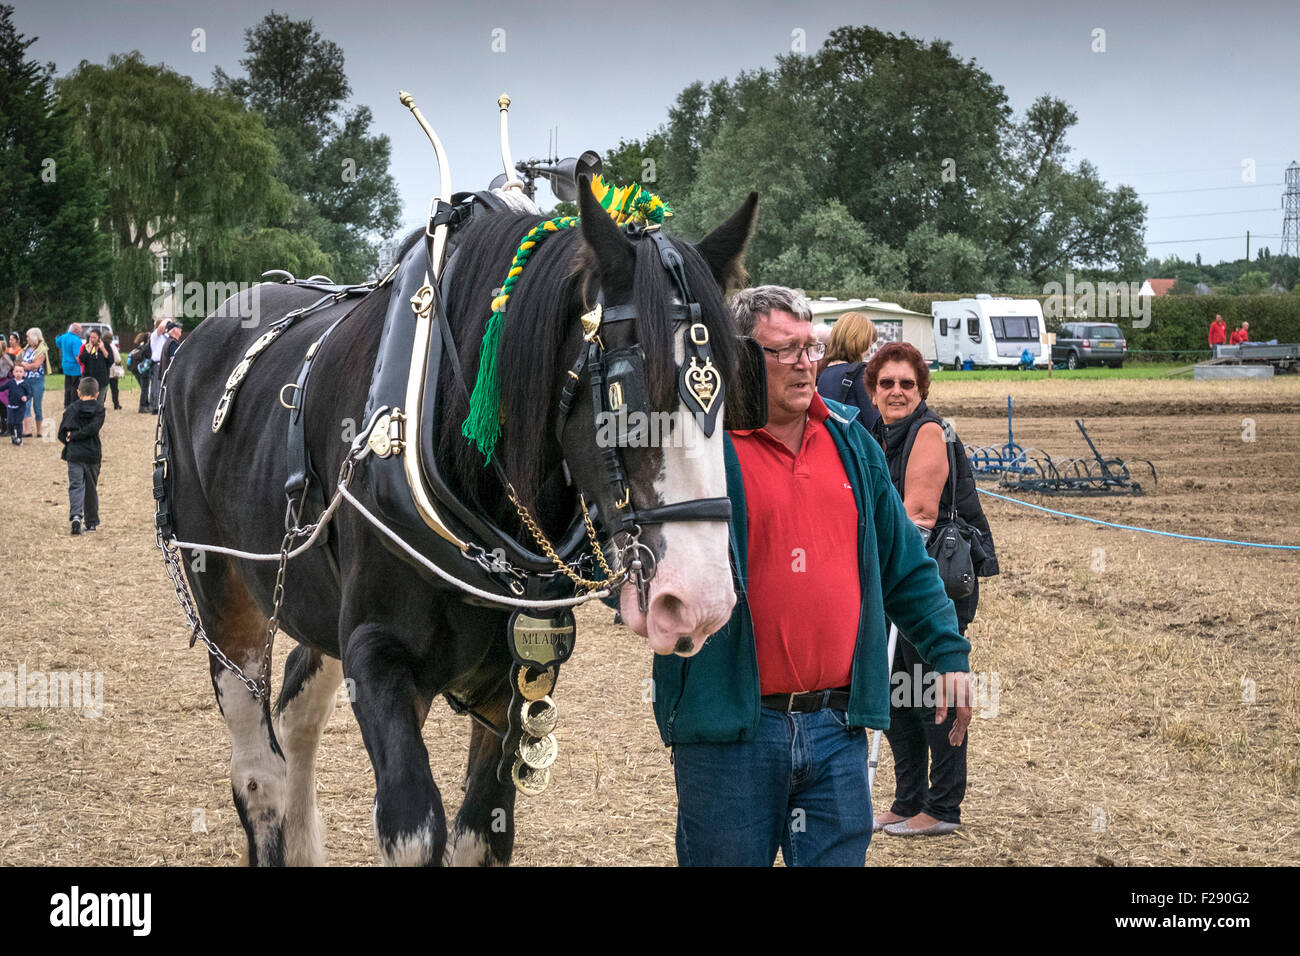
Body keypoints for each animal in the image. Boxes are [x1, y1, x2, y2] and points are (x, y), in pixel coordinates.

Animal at [157, 176, 760, 865]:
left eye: (736, 384)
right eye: (626, 389)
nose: (701, 601)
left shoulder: (521, 676)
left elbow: (482, 830)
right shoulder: (375, 655)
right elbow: (415, 826)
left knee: (297, 714)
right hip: (224, 593)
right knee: (260, 774)